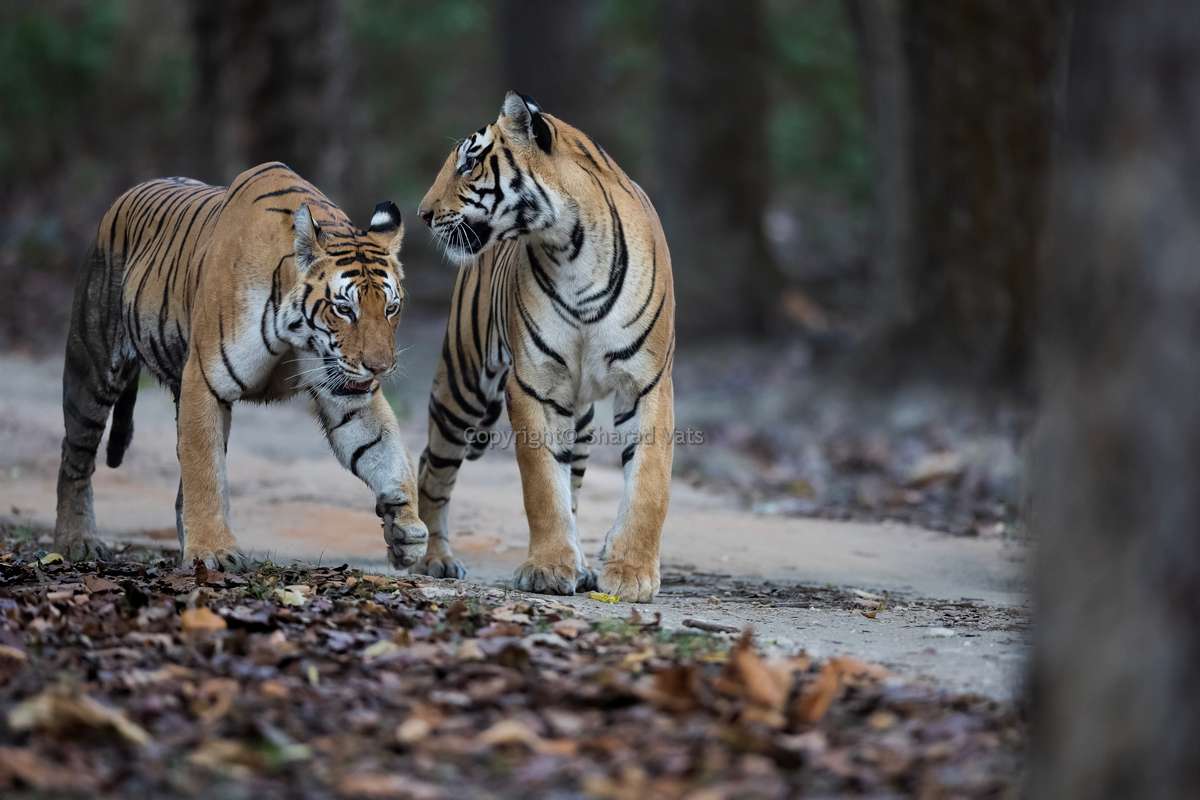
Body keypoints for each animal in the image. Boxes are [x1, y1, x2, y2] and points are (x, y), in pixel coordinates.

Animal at [53, 162, 429, 571]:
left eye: (391, 308)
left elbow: (387, 451)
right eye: (344, 309)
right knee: (75, 456)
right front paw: (213, 552)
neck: (296, 334)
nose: (380, 368)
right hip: (93, 366)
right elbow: (204, 472)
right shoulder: (204, 380)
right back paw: (78, 541)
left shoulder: (344, 391)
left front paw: (406, 529)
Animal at [415, 92, 675, 603]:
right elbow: (541, 484)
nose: (422, 213)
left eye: (468, 164)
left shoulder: (647, 382)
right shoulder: (534, 384)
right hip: (462, 388)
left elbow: (648, 483)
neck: (574, 249)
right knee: (430, 469)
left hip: (580, 419)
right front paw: (549, 568)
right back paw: (433, 558)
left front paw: (630, 572)